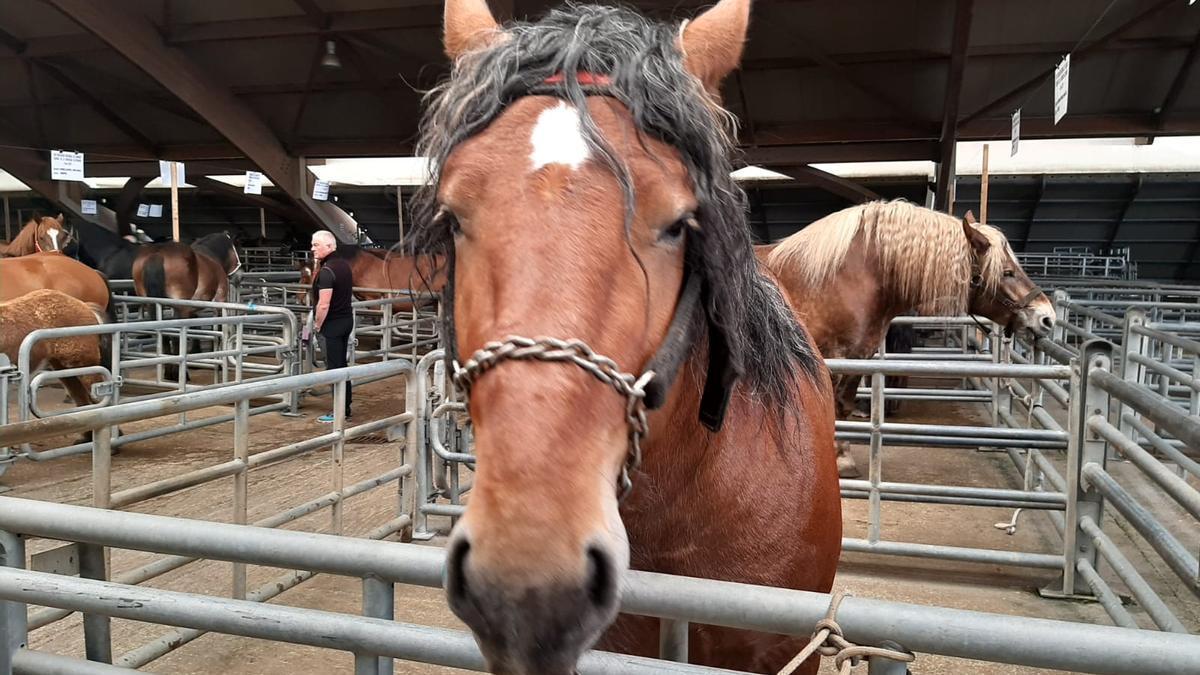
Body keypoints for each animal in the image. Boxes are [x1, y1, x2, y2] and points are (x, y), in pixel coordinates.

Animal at [753, 198, 1056, 473]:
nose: (1047, 318)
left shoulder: (859, 358)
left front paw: (843, 458)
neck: (843, 278)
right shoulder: (831, 361)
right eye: (1007, 272)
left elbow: (843, 406)